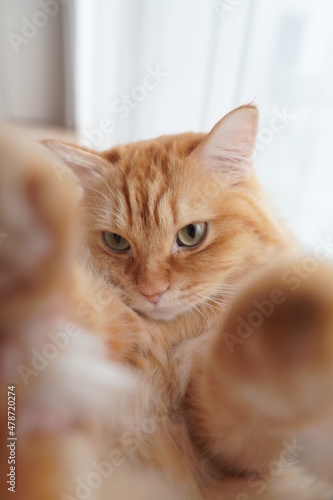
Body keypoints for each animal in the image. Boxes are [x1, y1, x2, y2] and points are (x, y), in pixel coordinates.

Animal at [1, 106, 332, 500]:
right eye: (116, 242)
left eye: (191, 234)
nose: (152, 293)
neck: (166, 340)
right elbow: (85, 304)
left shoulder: (230, 454)